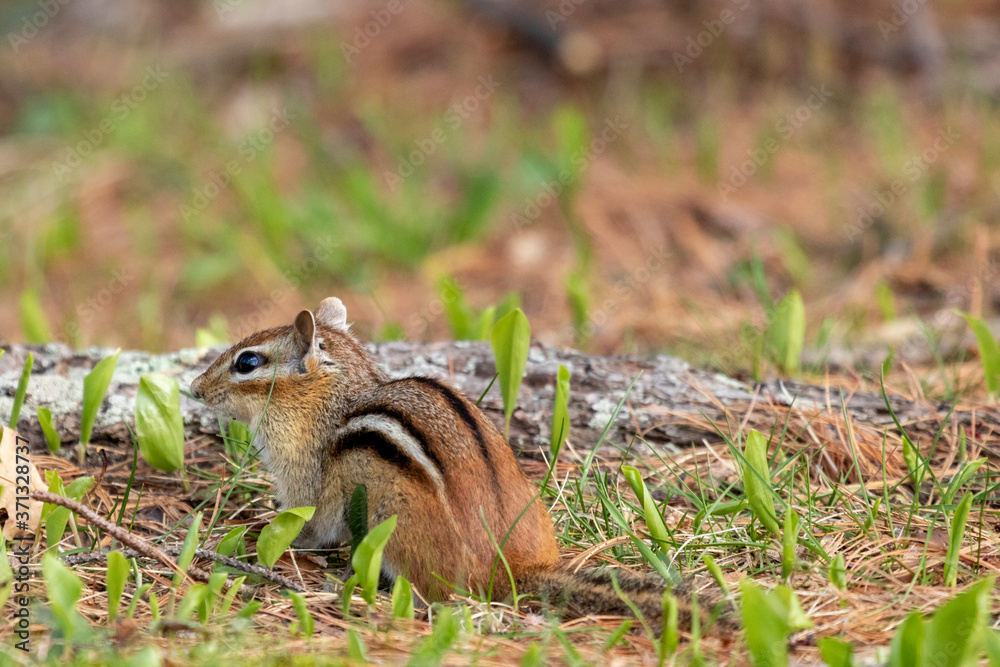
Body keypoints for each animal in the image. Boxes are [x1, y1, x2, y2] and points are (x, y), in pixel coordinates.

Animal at [191, 297, 723, 627]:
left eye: (247, 362)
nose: (194, 388)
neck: (331, 401)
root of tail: (511, 571)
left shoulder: (308, 482)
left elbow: (310, 527)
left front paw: (262, 539)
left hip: (397, 527)